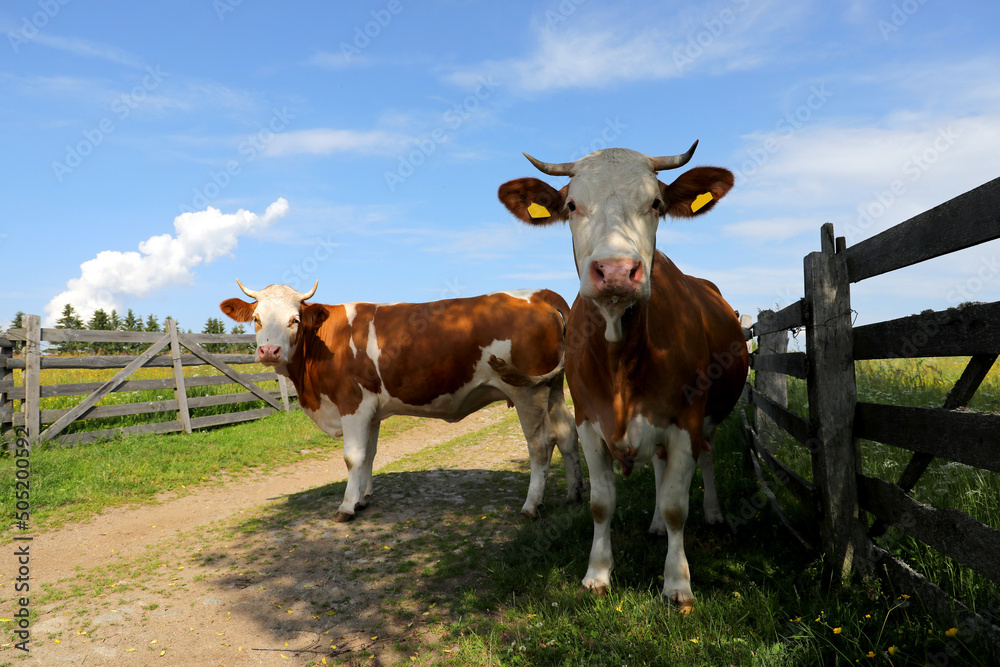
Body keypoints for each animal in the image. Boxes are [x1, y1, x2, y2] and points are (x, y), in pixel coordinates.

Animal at [220, 281, 582, 522]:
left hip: (527, 392)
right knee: (567, 433)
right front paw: (363, 499)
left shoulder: (351, 403)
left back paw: (531, 505)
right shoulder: (371, 411)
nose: (269, 351)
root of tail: (539, 294)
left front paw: (347, 507)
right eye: (257, 319)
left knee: (540, 443)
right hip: (552, 387)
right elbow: (368, 455)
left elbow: (352, 457)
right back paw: (573, 493)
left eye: (294, 319)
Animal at [497, 142, 749, 606]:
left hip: (708, 417)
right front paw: (597, 574)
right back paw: (654, 527)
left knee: (705, 459)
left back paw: (714, 515)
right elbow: (602, 503)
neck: (620, 363)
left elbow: (676, 506)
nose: (616, 271)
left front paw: (677, 583)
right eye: (571, 205)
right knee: (660, 469)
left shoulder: (686, 421)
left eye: (656, 203)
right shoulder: (588, 424)